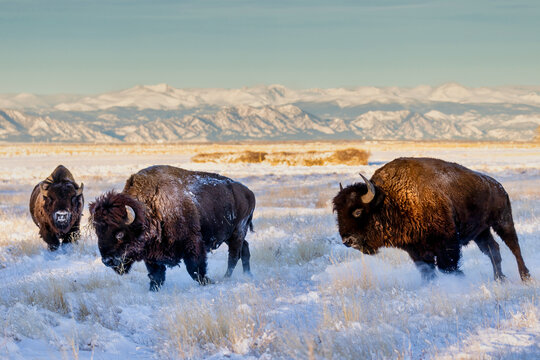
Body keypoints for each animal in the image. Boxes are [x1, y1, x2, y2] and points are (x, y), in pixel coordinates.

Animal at [89, 165, 256, 292]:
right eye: (98, 231)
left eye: (120, 233)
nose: (107, 260)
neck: (151, 209)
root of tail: (248, 192)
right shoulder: (152, 256)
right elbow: (156, 276)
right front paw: (153, 289)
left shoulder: (193, 246)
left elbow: (195, 270)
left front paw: (209, 281)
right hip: (231, 235)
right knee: (244, 249)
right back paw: (248, 275)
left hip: (238, 231)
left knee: (233, 256)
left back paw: (226, 277)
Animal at [334, 158, 532, 282]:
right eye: (337, 212)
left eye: (358, 211)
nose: (347, 240)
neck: (390, 199)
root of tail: (498, 186)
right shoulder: (415, 249)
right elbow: (427, 271)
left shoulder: (447, 243)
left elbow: (448, 266)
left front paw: (459, 281)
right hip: (481, 232)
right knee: (493, 249)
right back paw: (499, 278)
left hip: (502, 221)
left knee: (514, 246)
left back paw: (525, 276)